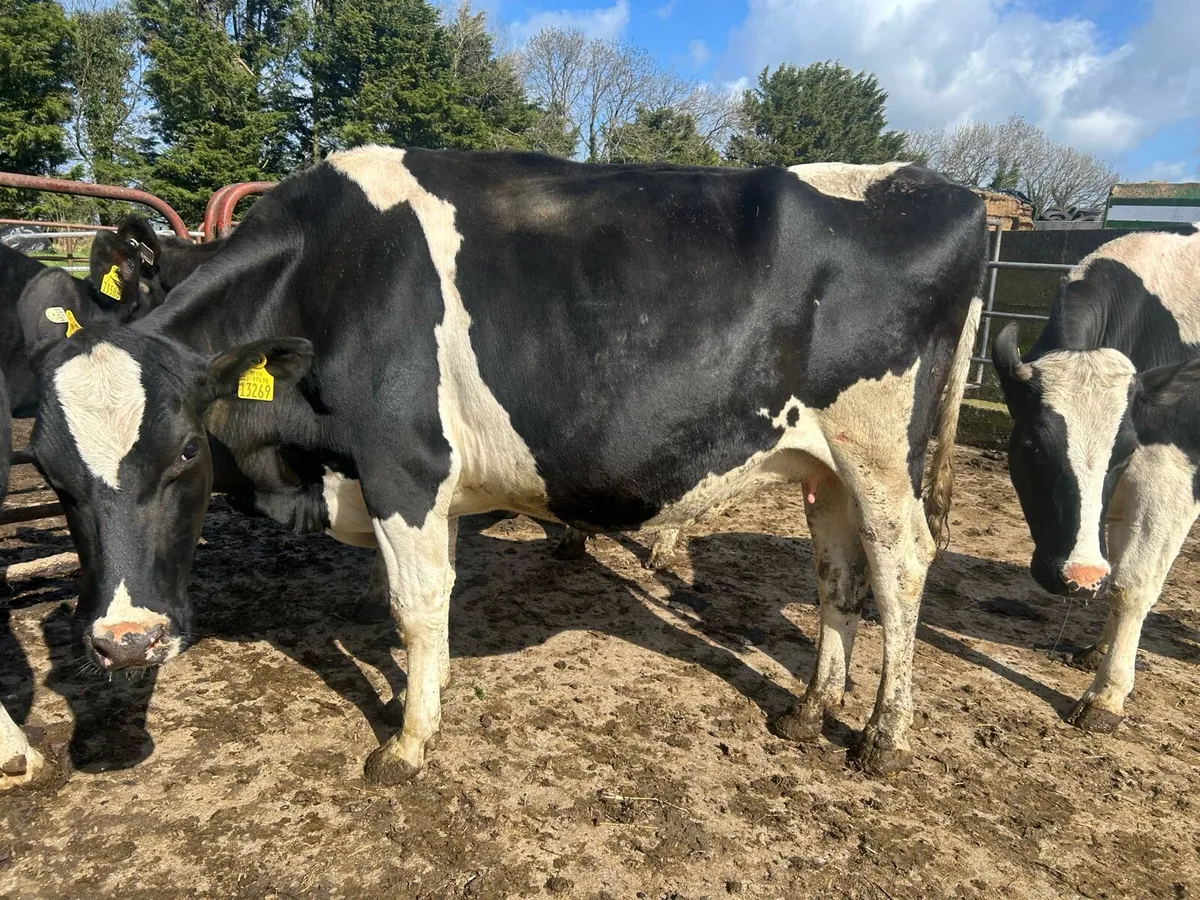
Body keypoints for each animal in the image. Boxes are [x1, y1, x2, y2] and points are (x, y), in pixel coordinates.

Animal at [28, 148, 986, 784]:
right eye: (51, 473)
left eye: (186, 450)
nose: (124, 641)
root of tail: (938, 184)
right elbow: (433, 605)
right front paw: (433, 697)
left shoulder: (404, 466)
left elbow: (415, 606)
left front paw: (408, 742)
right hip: (825, 463)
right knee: (838, 576)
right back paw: (808, 709)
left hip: (881, 454)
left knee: (902, 566)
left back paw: (881, 738)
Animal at [993, 226, 1200, 732]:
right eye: (1031, 445)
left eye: (1123, 450)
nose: (1078, 577)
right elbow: (1117, 567)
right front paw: (1101, 647)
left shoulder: (1169, 474)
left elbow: (1132, 583)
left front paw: (1107, 694)